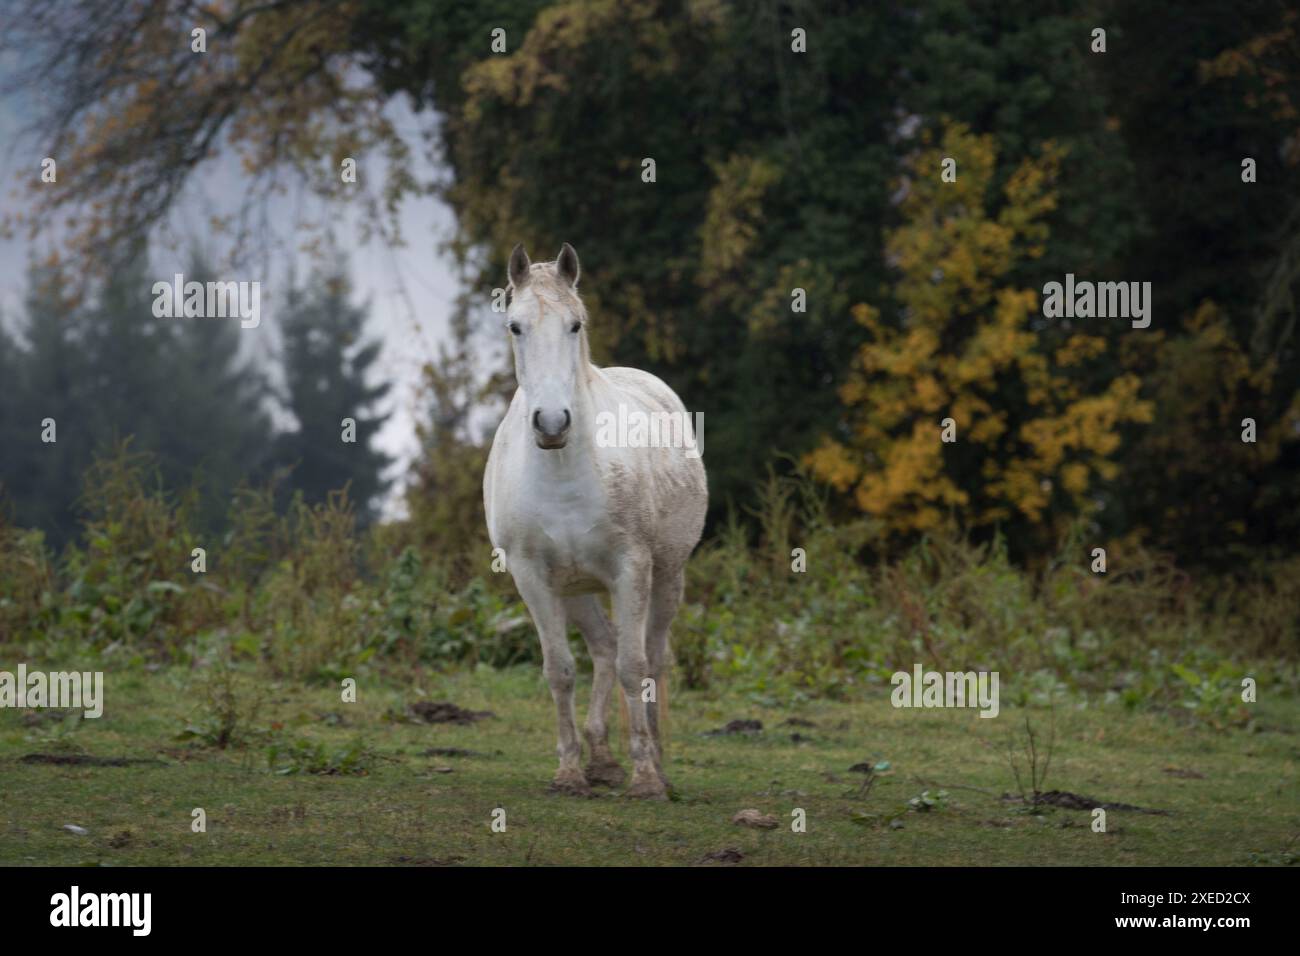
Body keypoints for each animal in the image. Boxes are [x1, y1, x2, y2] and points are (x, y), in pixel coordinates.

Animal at [483, 243, 707, 799]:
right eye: (515, 326)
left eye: (575, 325)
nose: (552, 423)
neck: (564, 471)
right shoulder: (533, 577)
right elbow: (560, 670)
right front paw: (568, 771)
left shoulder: (631, 568)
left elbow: (634, 665)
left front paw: (646, 777)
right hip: (577, 589)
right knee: (603, 648)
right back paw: (602, 759)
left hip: (666, 577)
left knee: (651, 657)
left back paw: (654, 760)